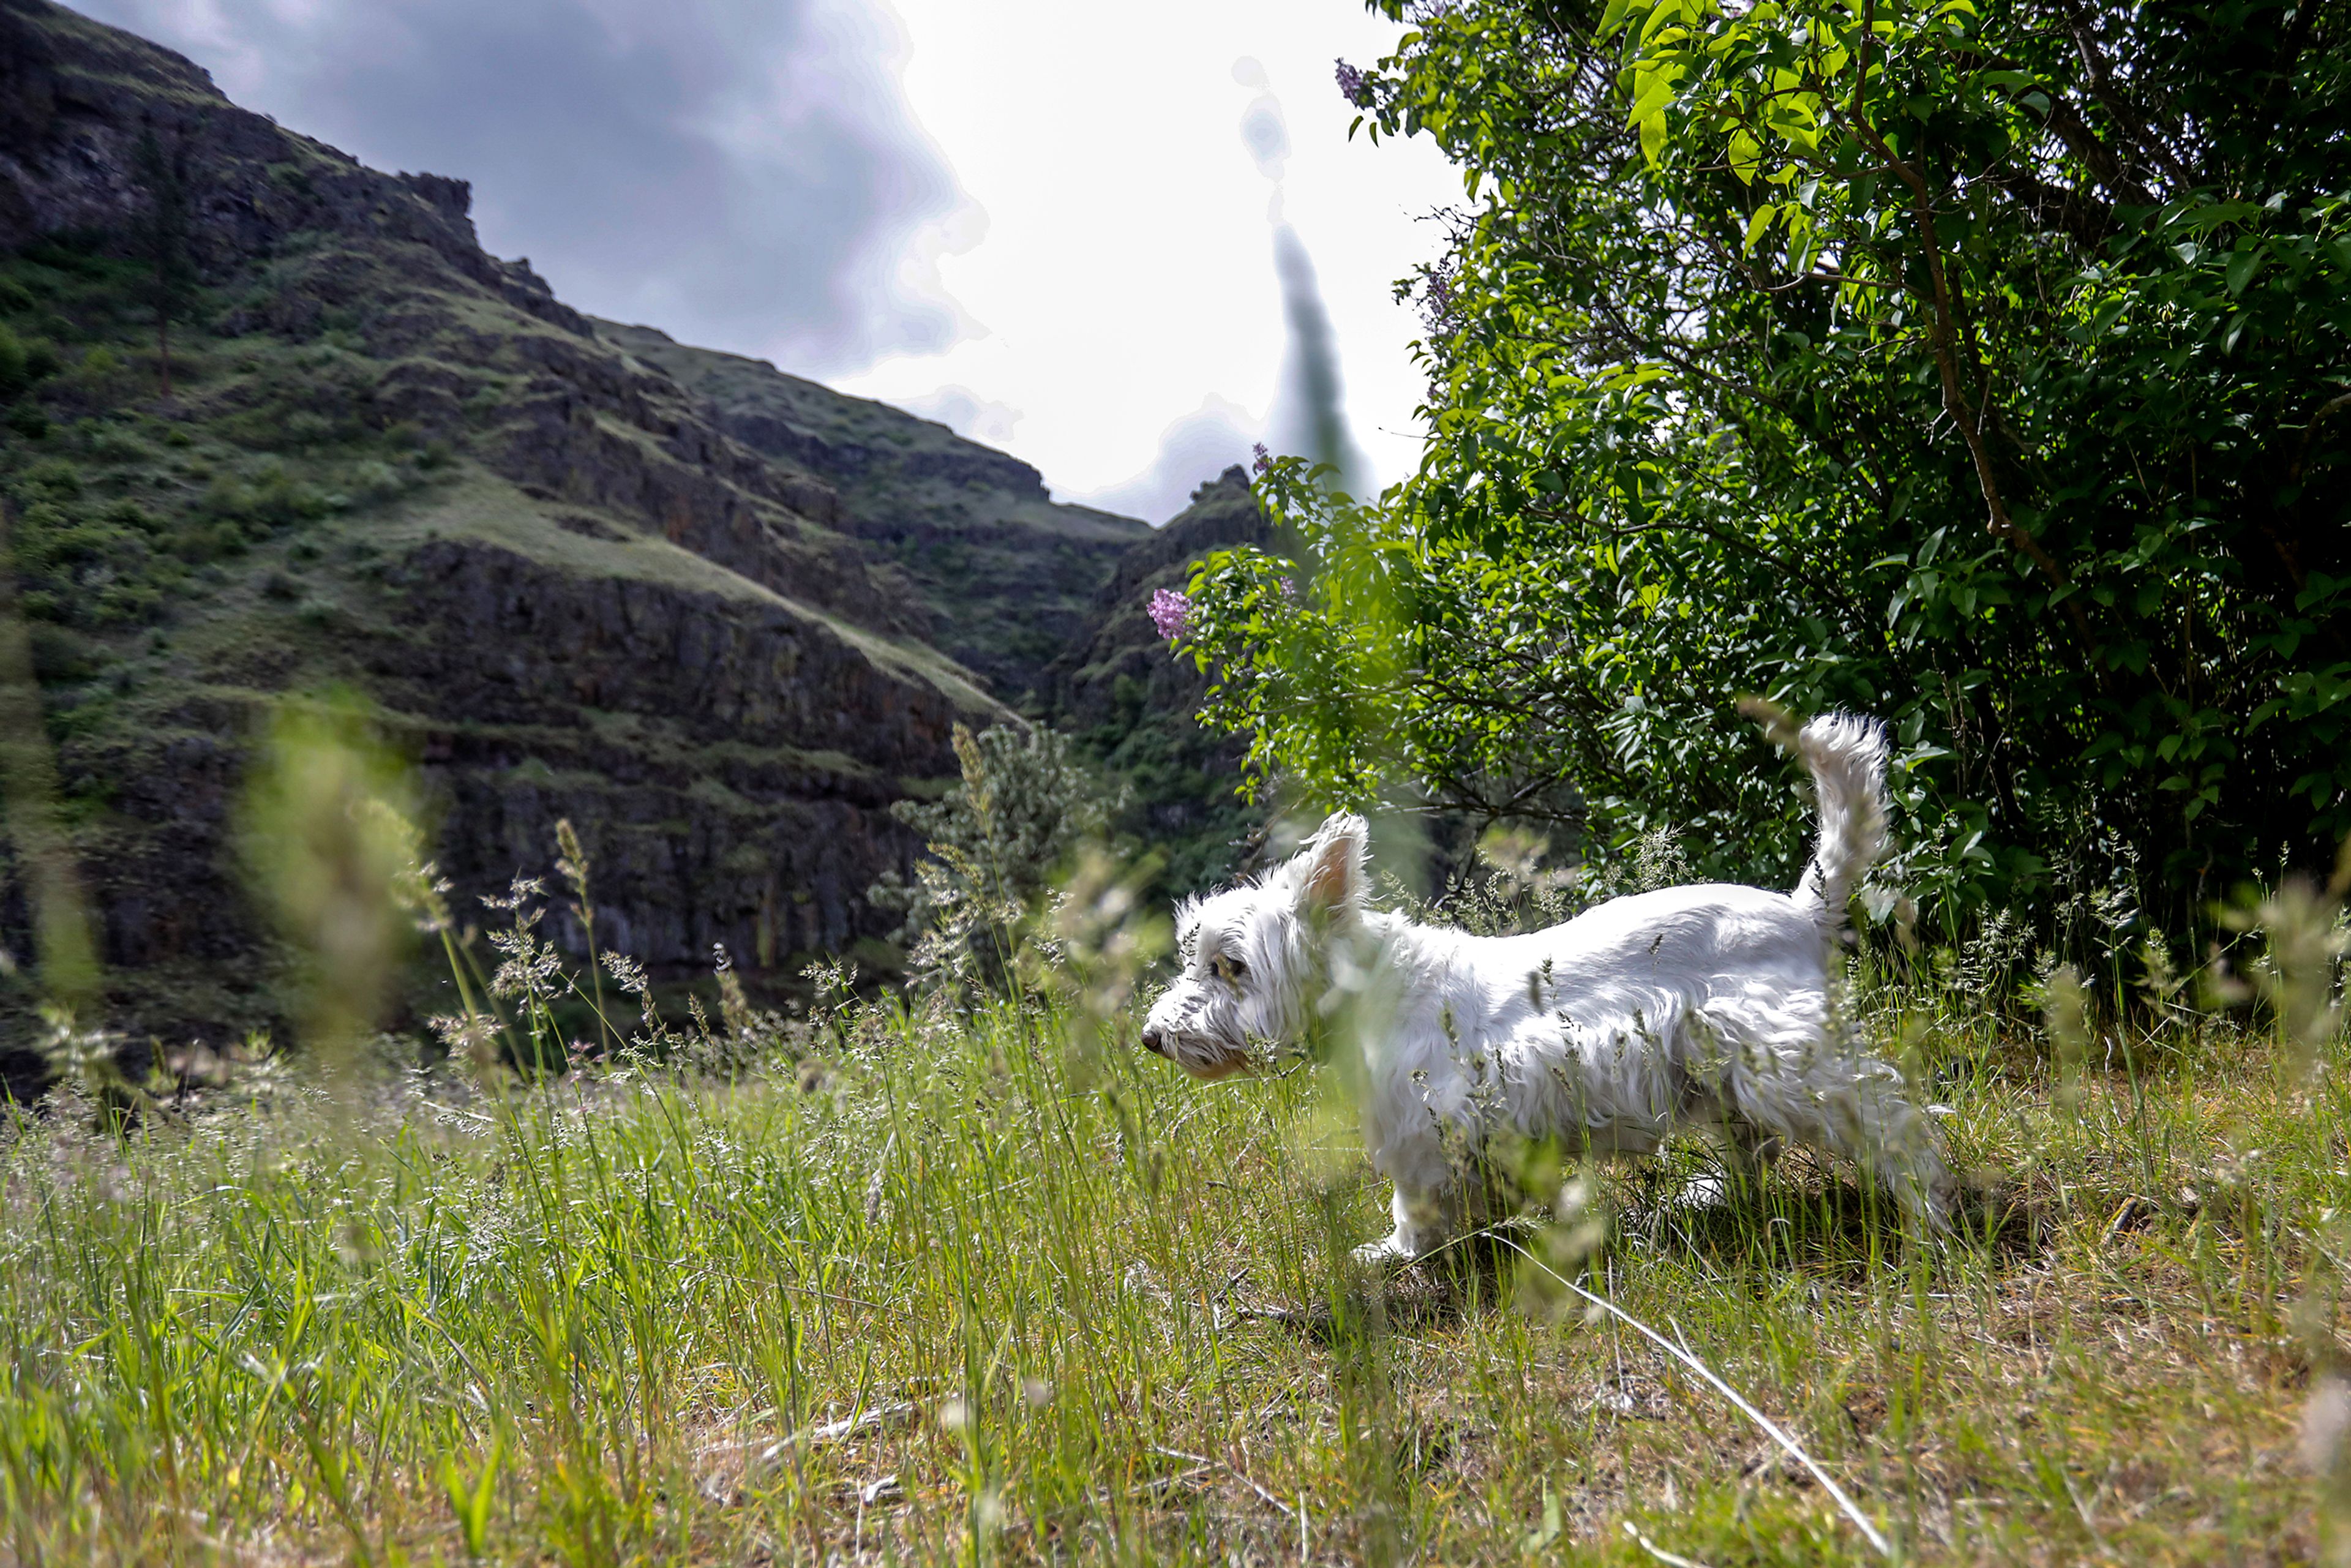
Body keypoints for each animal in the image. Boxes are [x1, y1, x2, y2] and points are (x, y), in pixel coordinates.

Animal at [1147, 715, 1955, 1260]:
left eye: (1231, 965)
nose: (1155, 1037)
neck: (1367, 990)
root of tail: (1802, 909)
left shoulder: (1419, 1127)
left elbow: (1413, 1205)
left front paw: (1394, 1254)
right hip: (1718, 1066)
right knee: (1754, 1145)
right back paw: (1710, 1196)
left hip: (1786, 1057)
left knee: (1892, 1122)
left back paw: (1930, 1218)